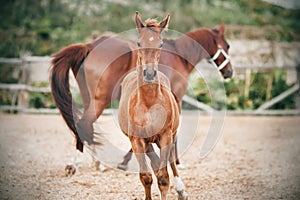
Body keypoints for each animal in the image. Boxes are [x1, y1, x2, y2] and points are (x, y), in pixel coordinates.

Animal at [49, 13, 232, 175]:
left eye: (160, 44)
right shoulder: (176, 99)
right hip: (100, 100)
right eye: (228, 46)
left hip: (89, 98)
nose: (230, 72)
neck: (180, 56)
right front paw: (175, 161)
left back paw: (97, 164)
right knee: (83, 124)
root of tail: (90, 46)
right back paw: (76, 164)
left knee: (87, 126)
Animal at [118, 12, 188, 200]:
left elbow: (163, 178)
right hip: (146, 142)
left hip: (171, 135)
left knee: (170, 162)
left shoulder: (165, 136)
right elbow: (146, 176)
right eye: (138, 42)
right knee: (155, 164)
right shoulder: (137, 140)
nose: (149, 74)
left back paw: (181, 190)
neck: (149, 103)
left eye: (161, 43)